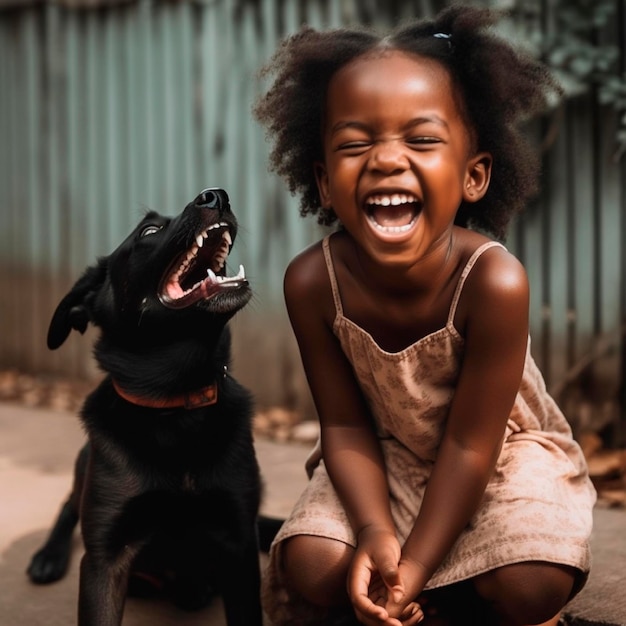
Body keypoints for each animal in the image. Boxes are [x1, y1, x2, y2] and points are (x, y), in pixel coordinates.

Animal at [27, 188, 264, 620]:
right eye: (149, 231)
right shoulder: (104, 560)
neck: (176, 402)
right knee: (69, 504)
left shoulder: (240, 544)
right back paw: (49, 556)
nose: (217, 195)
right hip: (84, 460)